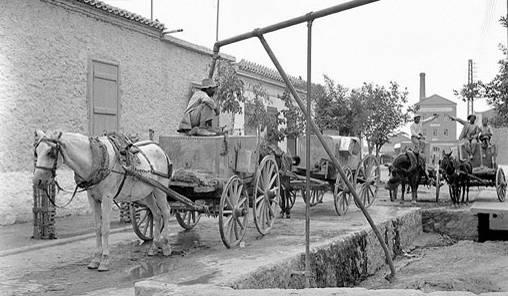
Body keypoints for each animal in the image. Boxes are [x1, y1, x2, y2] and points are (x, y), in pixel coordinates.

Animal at [33, 131, 175, 272]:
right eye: (36, 152)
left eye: (50, 153)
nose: (37, 181)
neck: (96, 158)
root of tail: (160, 149)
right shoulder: (93, 199)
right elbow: (97, 227)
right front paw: (95, 259)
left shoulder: (107, 197)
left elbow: (106, 228)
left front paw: (105, 260)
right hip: (147, 193)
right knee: (156, 214)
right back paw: (154, 247)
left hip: (159, 189)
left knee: (166, 211)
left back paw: (166, 246)